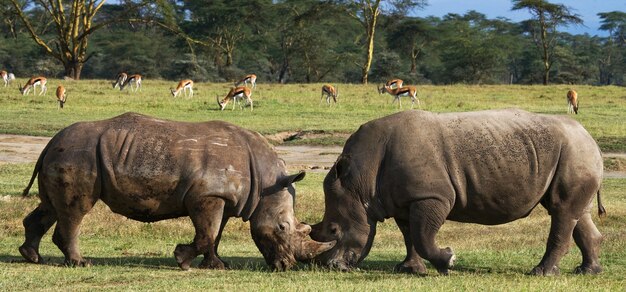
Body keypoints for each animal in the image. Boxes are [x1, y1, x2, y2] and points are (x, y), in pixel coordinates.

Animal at [19, 112, 334, 272]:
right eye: (282, 227)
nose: (286, 266)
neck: (266, 183)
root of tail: (50, 142)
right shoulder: (206, 196)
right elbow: (207, 234)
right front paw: (182, 260)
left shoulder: (222, 199)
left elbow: (215, 234)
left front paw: (217, 265)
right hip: (79, 155)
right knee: (76, 210)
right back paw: (81, 263)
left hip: (66, 154)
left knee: (50, 207)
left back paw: (32, 257)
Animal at [312, 108, 604, 274]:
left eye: (334, 230)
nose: (330, 267)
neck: (360, 178)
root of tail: (591, 137)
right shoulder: (403, 199)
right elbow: (410, 235)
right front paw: (409, 270)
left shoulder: (432, 196)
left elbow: (422, 235)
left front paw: (448, 262)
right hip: (575, 153)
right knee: (575, 212)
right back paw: (587, 272)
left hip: (575, 151)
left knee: (561, 210)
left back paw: (541, 273)